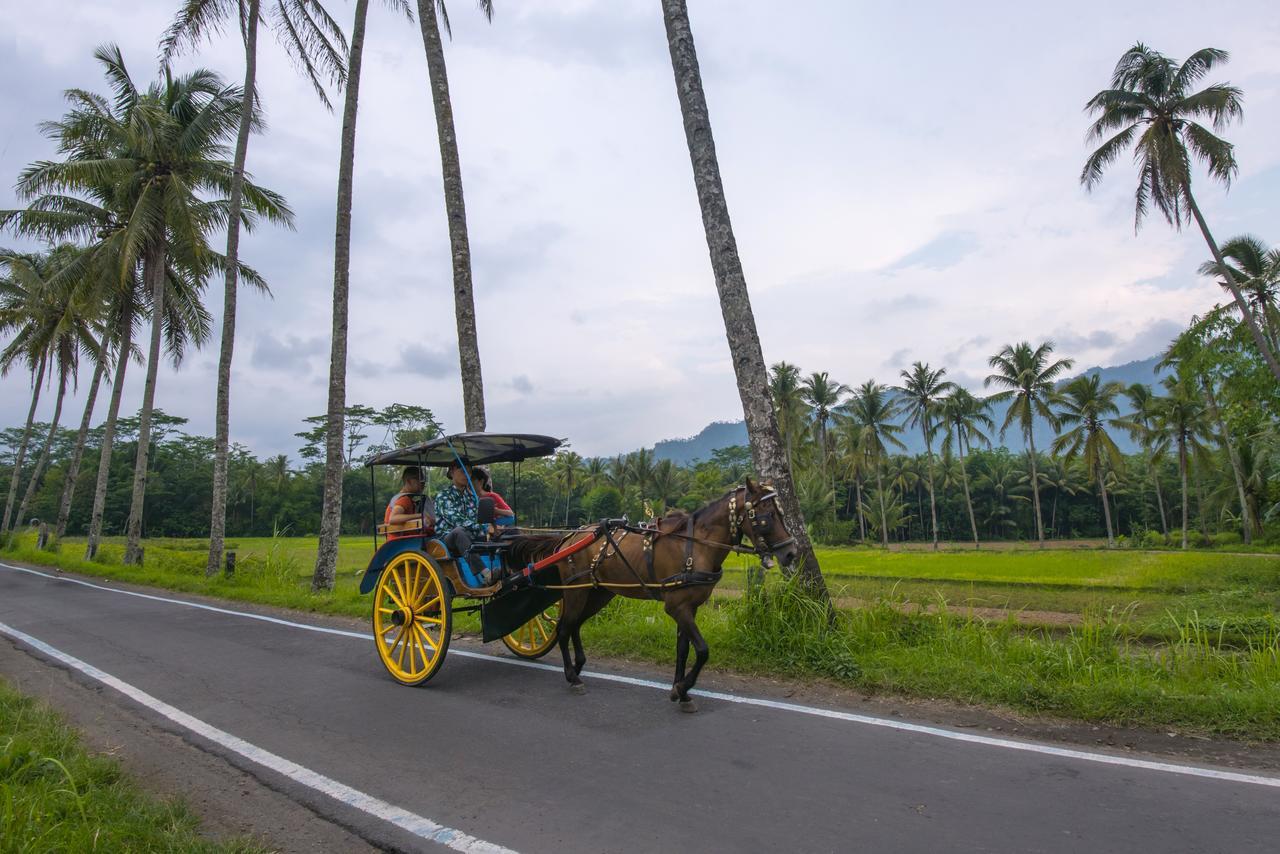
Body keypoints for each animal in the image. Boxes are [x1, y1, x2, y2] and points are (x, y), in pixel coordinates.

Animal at [517, 478, 788, 711]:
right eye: (767, 516)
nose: (791, 552)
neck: (695, 546)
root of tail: (569, 537)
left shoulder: (689, 607)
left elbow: (683, 650)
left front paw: (681, 692)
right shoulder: (676, 607)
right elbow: (702, 650)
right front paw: (682, 687)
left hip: (597, 594)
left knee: (574, 625)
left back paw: (578, 665)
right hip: (576, 591)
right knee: (563, 628)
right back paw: (573, 677)